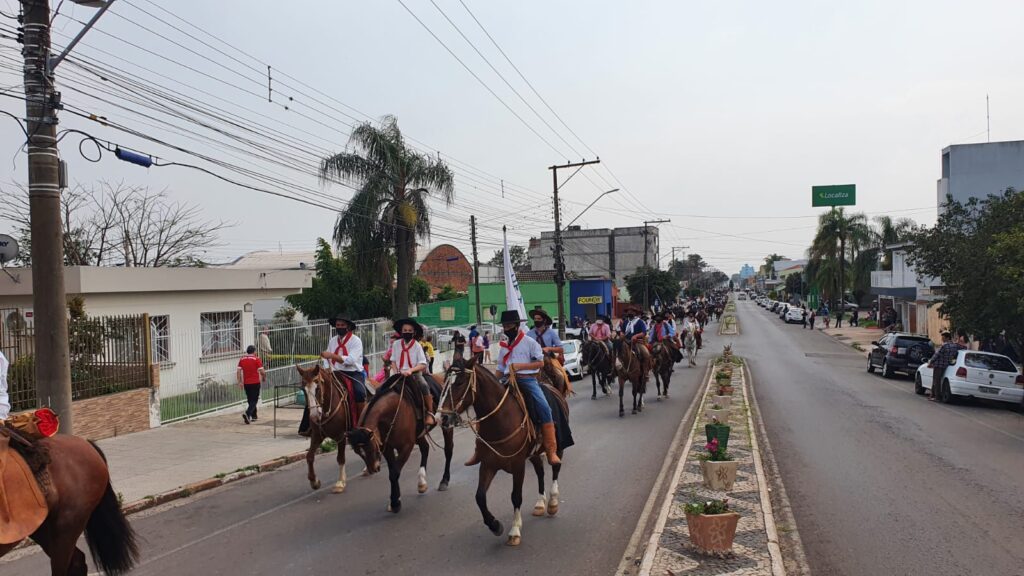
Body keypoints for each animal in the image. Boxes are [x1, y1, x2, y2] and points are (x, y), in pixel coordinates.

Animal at [438, 356, 569, 545]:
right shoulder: (488, 465)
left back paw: (552, 503)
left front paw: (514, 530)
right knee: (540, 472)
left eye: (460, 382)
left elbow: (516, 496)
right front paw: (494, 525)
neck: (501, 420)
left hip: (557, 447)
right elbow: (479, 497)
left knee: (555, 468)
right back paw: (540, 503)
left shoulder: (518, 465)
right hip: (534, 453)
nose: (443, 418)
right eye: (444, 383)